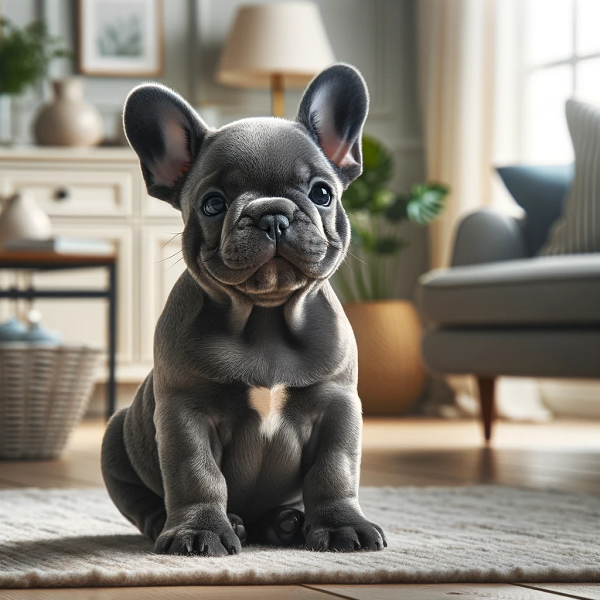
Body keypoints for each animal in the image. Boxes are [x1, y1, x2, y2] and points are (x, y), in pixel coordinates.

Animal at [101, 63, 386, 556]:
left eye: (322, 193)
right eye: (213, 204)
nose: (272, 214)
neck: (265, 318)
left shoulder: (337, 406)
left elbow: (334, 470)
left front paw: (341, 526)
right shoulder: (185, 414)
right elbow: (196, 474)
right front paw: (199, 532)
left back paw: (286, 522)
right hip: (115, 440)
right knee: (141, 502)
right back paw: (198, 524)